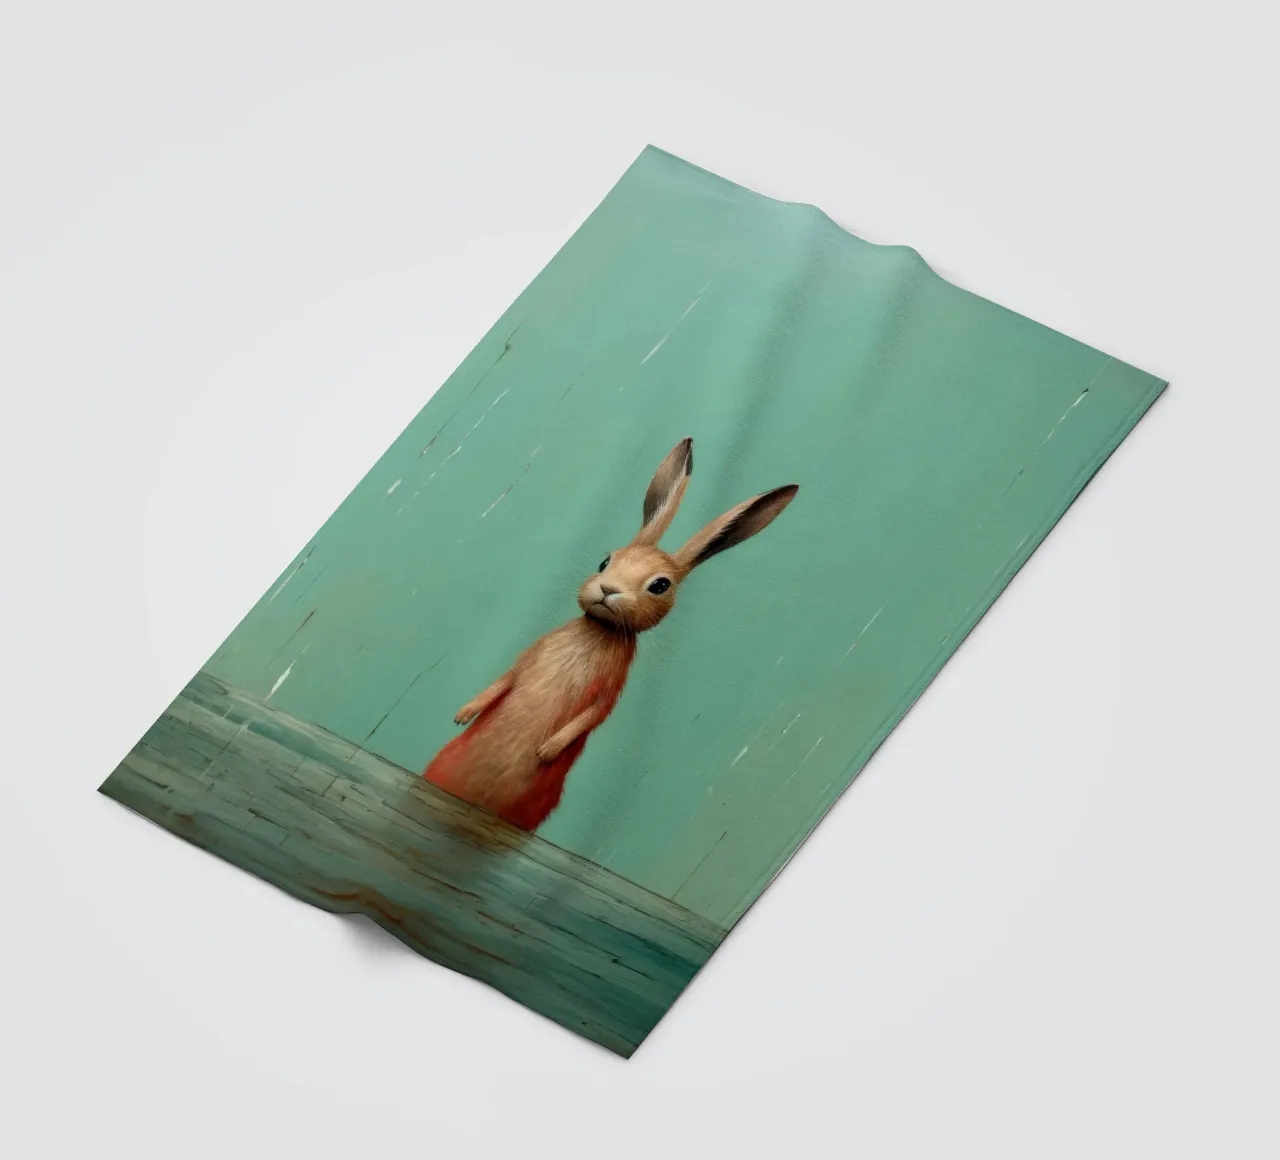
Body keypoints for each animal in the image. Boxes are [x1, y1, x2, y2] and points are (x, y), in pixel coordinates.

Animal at [423, 437, 798, 831]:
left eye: (660, 585)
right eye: (605, 562)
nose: (607, 589)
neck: (597, 631)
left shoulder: (611, 687)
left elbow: (592, 715)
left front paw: (547, 750)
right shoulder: (531, 655)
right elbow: (504, 681)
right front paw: (464, 714)